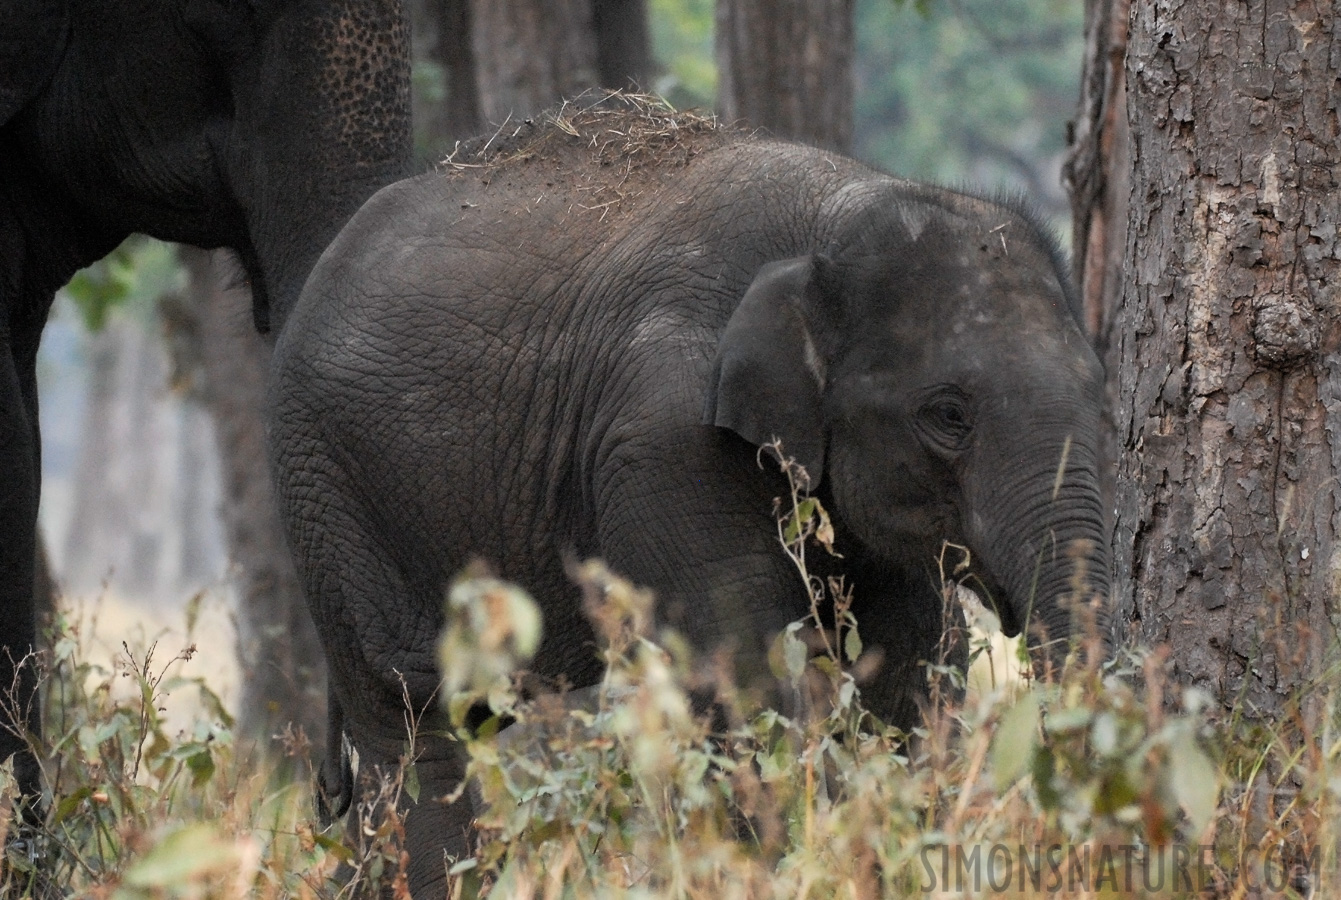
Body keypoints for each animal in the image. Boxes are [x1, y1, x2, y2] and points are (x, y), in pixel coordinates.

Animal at [269, 101, 1110, 895]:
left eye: (1097, 391)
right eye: (947, 415)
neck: (839, 213)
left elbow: (906, 672)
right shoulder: (667, 439)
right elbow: (742, 678)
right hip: (326, 490)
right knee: (409, 720)